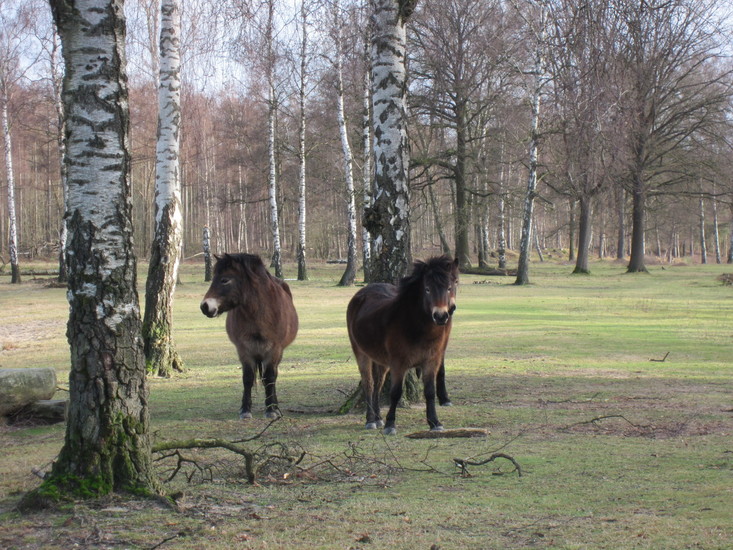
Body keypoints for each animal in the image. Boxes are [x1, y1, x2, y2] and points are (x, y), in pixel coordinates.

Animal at [200, 253, 298, 419]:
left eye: (225, 280)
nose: (205, 306)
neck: (258, 315)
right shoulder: (244, 350)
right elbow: (247, 378)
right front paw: (245, 410)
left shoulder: (274, 350)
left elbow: (269, 377)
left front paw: (271, 410)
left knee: (272, 376)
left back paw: (275, 406)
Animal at [346, 255, 459, 435]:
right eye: (427, 289)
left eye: (450, 287)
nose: (441, 316)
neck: (415, 326)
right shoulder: (399, 364)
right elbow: (395, 392)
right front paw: (390, 425)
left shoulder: (431, 362)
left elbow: (429, 392)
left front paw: (435, 422)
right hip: (361, 354)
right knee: (369, 384)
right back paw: (371, 420)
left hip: (381, 361)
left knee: (378, 385)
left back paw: (378, 418)